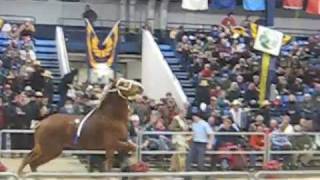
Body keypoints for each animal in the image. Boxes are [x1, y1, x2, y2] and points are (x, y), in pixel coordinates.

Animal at [16, 78, 144, 175]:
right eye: (123, 83)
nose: (140, 87)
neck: (112, 117)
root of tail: (41, 123)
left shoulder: (113, 146)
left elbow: (123, 153)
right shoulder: (112, 143)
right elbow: (130, 149)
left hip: (42, 148)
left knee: (29, 159)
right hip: (51, 150)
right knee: (32, 162)